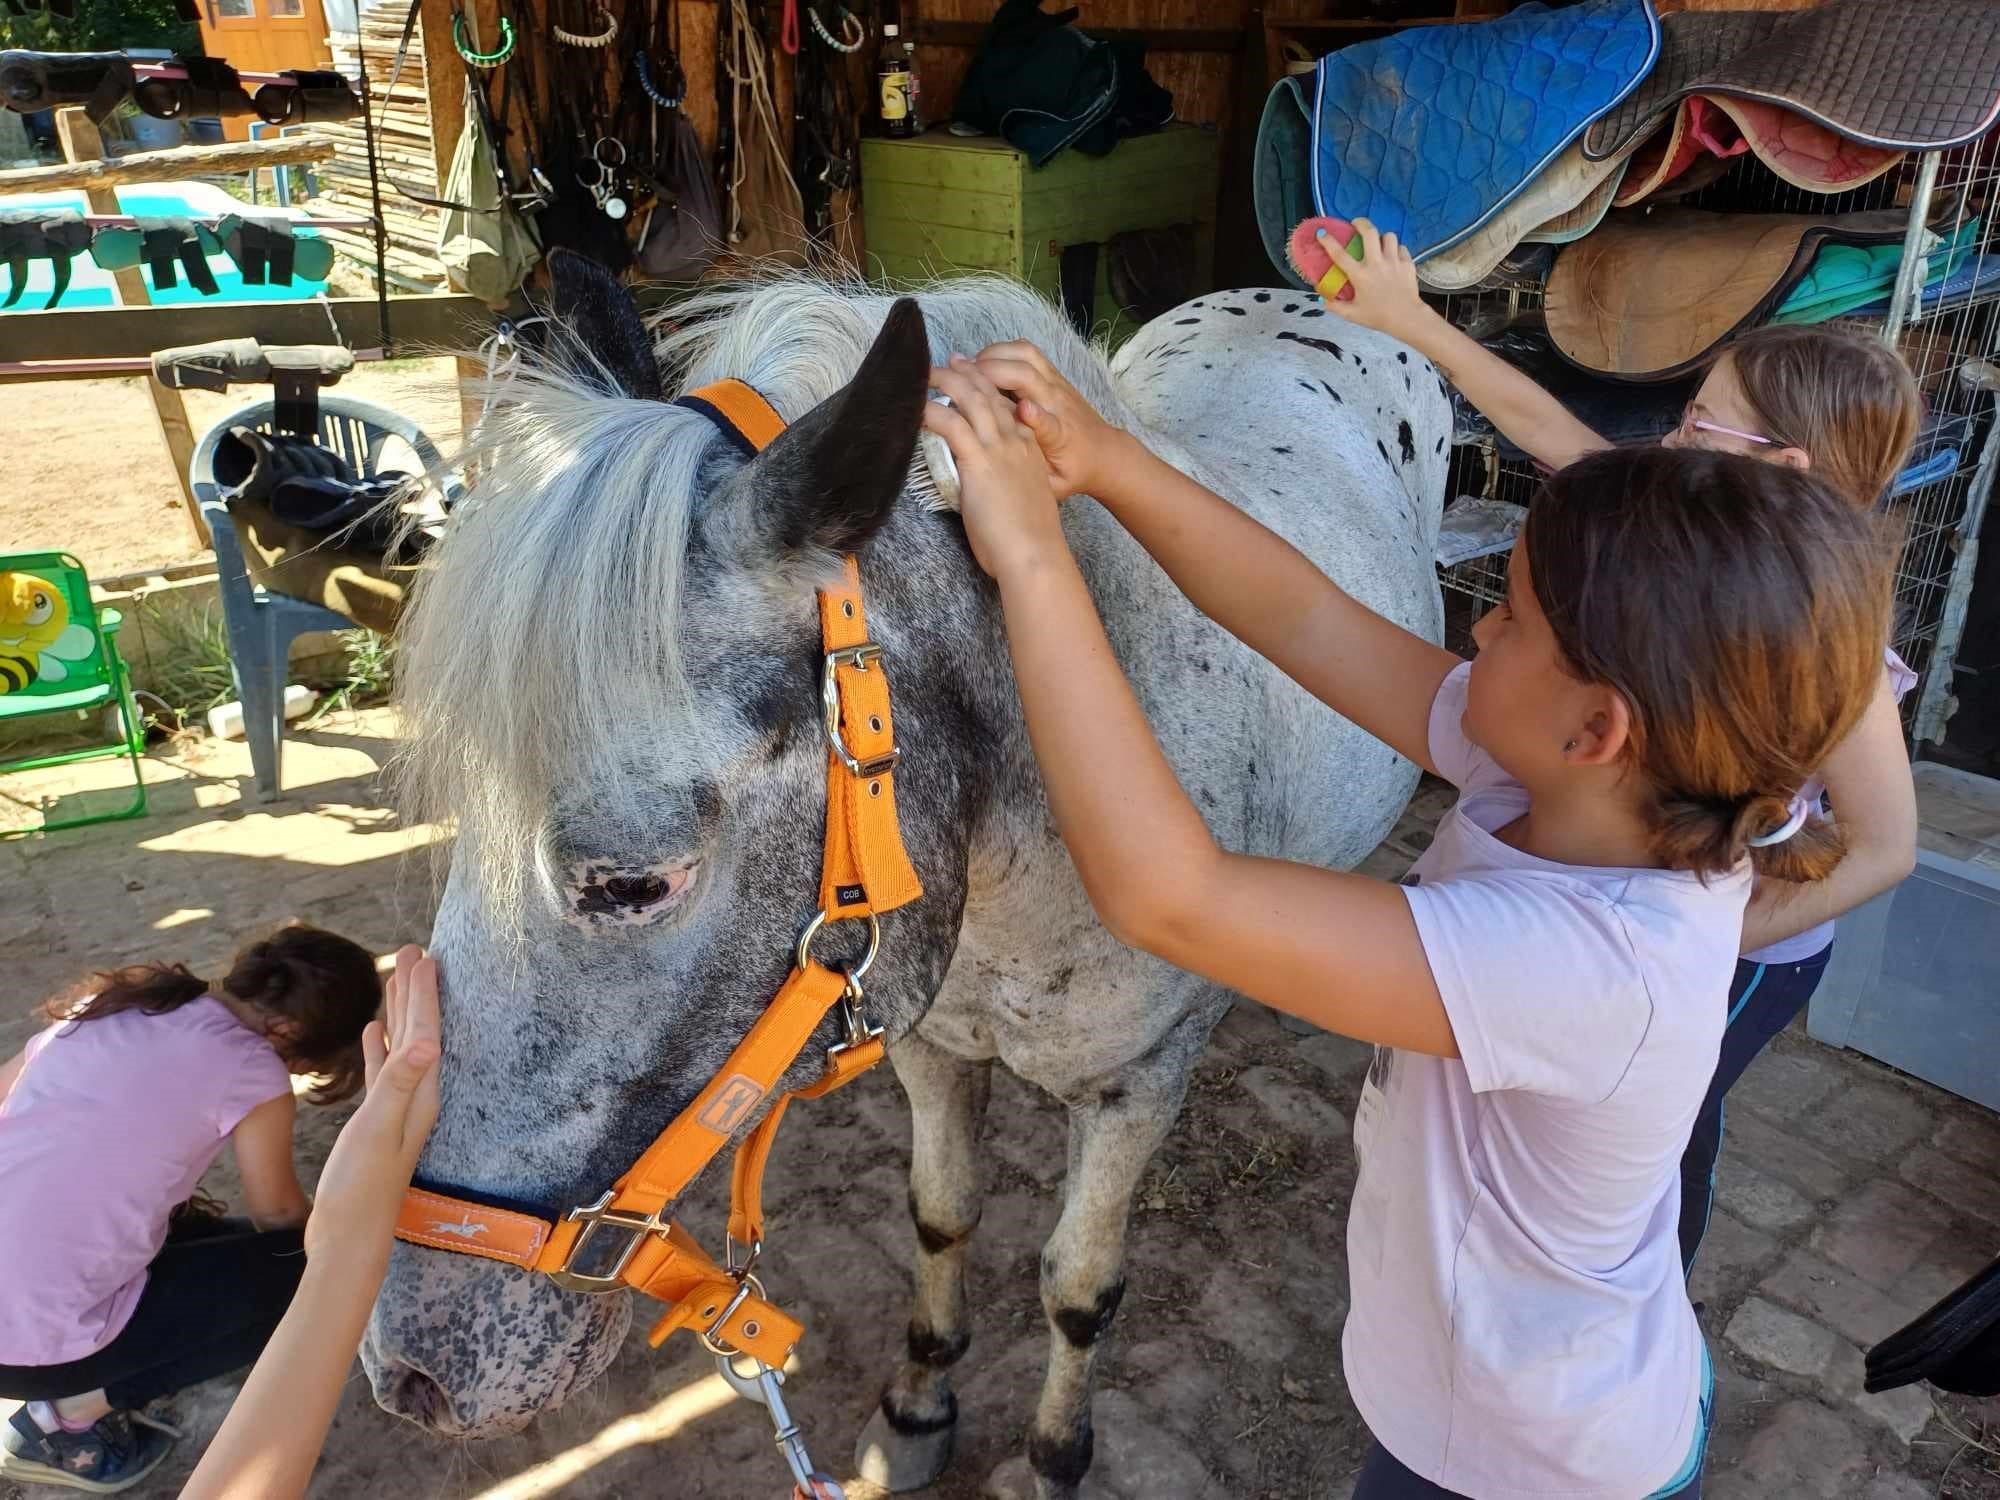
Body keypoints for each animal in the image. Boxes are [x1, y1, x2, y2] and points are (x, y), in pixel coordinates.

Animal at [364, 262, 1456, 1500]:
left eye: (636, 882)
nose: (412, 1375)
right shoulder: (930, 1050)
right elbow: (941, 1219)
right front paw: (917, 1408)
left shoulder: (1135, 1092)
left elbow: (1078, 1290)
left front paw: (1052, 1458)